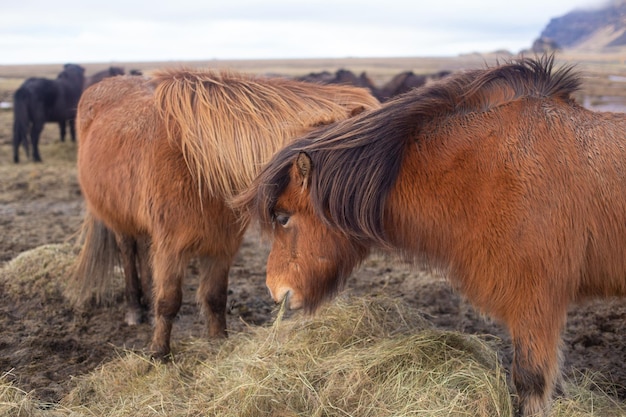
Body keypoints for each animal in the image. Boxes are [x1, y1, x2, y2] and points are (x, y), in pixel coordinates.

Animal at [70, 67, 378, 358]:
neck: (198, 165)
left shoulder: (222, 245)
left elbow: (215, 296)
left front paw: (219, 342)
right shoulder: (171, 247)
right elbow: (169, 300)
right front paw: (159, 353)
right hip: (119, 221)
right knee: (128, 253)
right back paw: (135, 309)